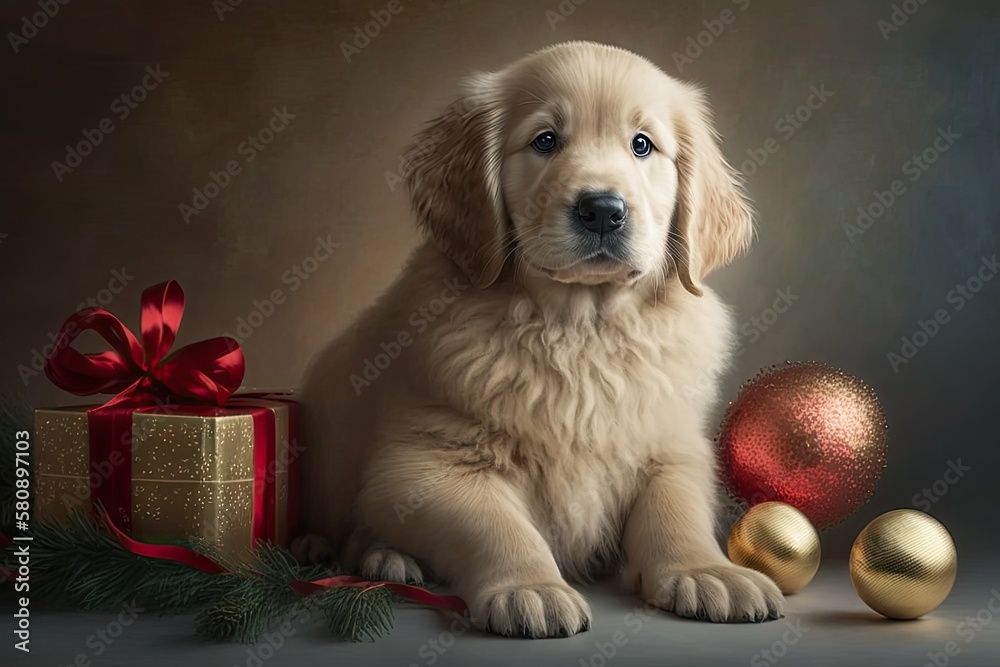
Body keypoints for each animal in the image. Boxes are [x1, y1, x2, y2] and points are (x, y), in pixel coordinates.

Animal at [294, 40, 780, 636]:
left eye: (642, 145)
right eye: (545, 140)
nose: (603, 210)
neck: (581, 329)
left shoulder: (675, 446)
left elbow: (676, 508)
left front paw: (707, 571)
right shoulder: (422, 465)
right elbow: (496, 523)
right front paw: (531, 587)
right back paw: (380, 556)